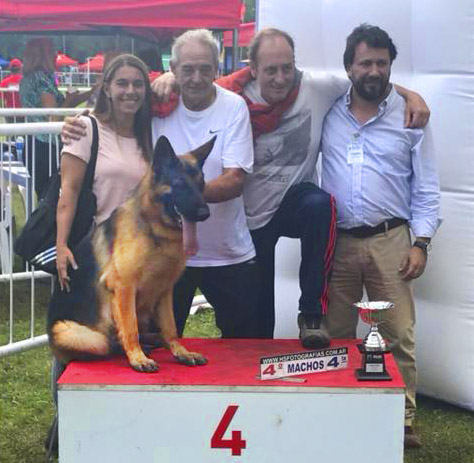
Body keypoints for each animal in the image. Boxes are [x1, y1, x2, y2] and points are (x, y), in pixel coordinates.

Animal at [47, 135, 215, 372]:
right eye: (180, 185)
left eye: (201, 185)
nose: (205, 213)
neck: (154, 230)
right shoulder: (124, 288)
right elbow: (130, 327)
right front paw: (138, 358)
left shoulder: (165, 291)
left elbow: (171, 328)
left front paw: (181, 352)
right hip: (73, 333)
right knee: (108, 343)